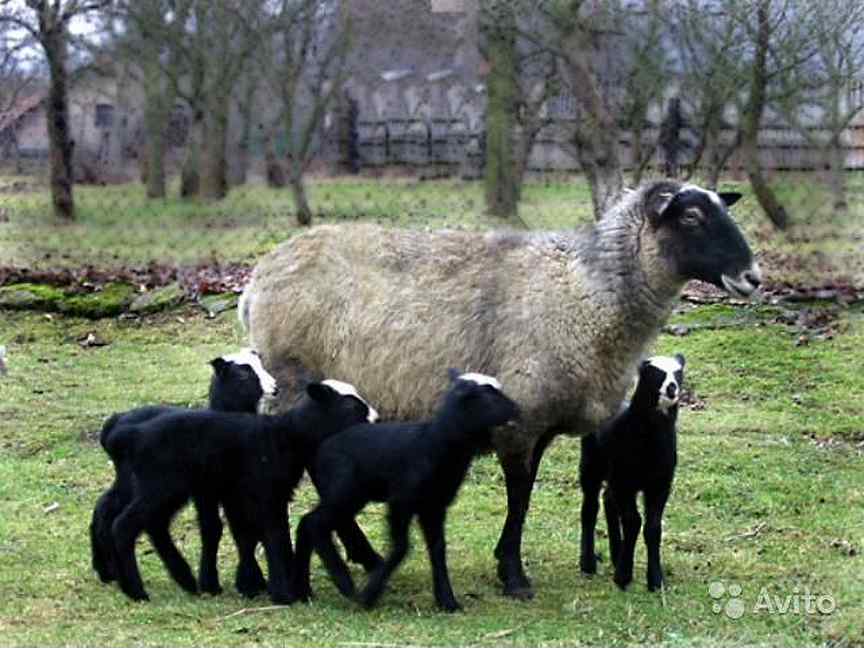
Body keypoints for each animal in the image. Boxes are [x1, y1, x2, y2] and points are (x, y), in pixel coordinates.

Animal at [89, 349, 278, 589]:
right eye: (243, 375)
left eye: (262, 365)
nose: (275, 388)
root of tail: (114, 425)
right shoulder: (206, 490)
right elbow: (214, 527)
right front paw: (217, 582)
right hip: (157, 486)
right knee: (134, 520)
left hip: (131, 482)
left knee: (107, 508)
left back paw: (109, 570)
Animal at [104, 379, 377, 603]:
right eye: (353, 407)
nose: (376, 420)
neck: (285, 436)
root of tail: (132, 434)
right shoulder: (264, 492)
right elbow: (274, 536)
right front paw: (282, 592)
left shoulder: (253, 494)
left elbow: (252, 535)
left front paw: (257, 585)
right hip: (160, 485)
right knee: (124, 526)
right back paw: (137, 591)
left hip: (167, 490)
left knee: (154, 525)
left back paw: (182, 580)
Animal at [290, 370, 521, 611]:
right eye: (489, 396)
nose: (518, 409)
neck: (436, 444)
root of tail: (327, 440)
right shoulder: (401, 500)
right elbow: (402, 547)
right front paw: (370, 594)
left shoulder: (434, 506)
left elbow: (438, 549)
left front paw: (447, 600)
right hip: (345, 491)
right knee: (314, 523)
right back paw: (343, 582)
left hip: (348, 494)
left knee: (307, 523)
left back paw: (303, 589)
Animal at [579, 354, 685, 592]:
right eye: (654, 372)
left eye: (679, 373)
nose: (672, 387)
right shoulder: (625, 481)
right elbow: (633, 522)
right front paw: (623, 577)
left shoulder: (660, 483)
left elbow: (653, 527)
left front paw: (656, 580)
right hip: (593, 464)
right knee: (590, 508)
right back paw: (588, 563)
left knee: (608, 500)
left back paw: (616, 554)